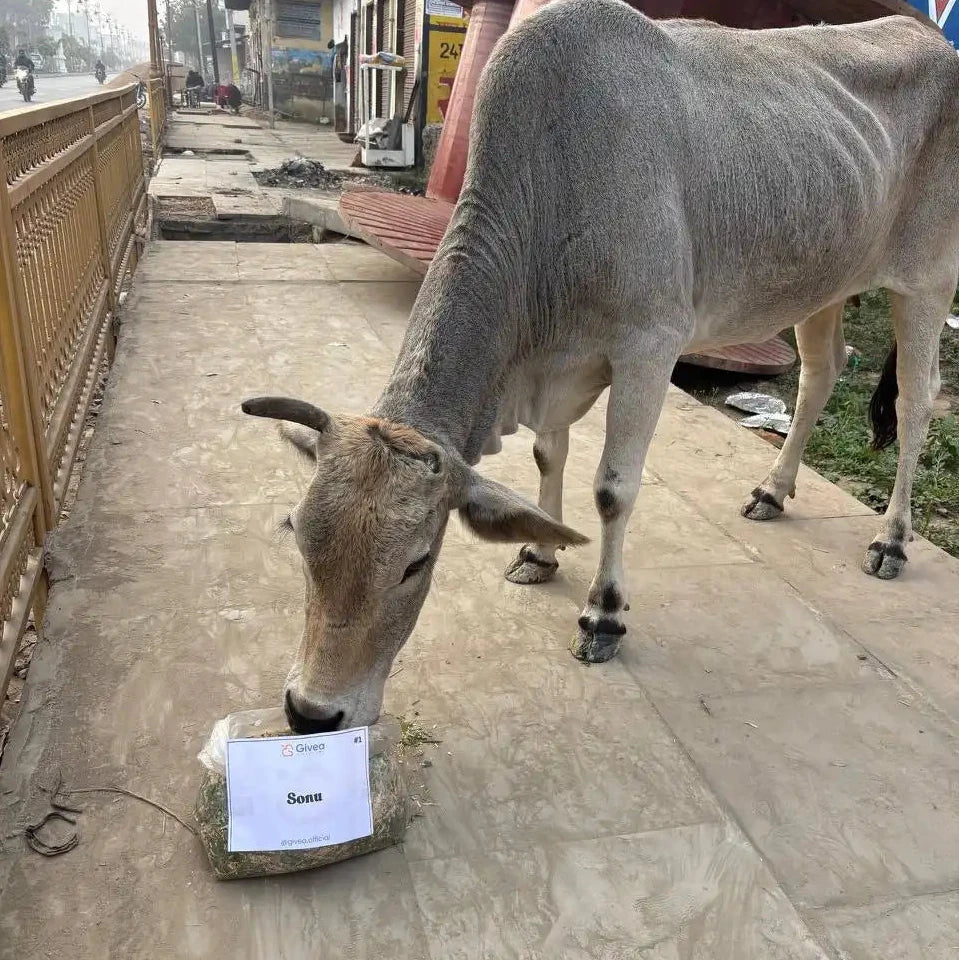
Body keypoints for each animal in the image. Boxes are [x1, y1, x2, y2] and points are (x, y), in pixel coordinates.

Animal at [243, 0, 959, 733]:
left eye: (416, 563)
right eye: (298, 536)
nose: (310, 712)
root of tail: (927, 34)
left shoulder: (649, 346)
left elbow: (613, 490)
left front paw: (603, 614)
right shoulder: (553, 366)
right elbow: (547, 459)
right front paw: (539, 553)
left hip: (927, 282)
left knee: (915, 401)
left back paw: (891, 540)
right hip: (824, 282)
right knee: (820, 373)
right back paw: (772, 490)